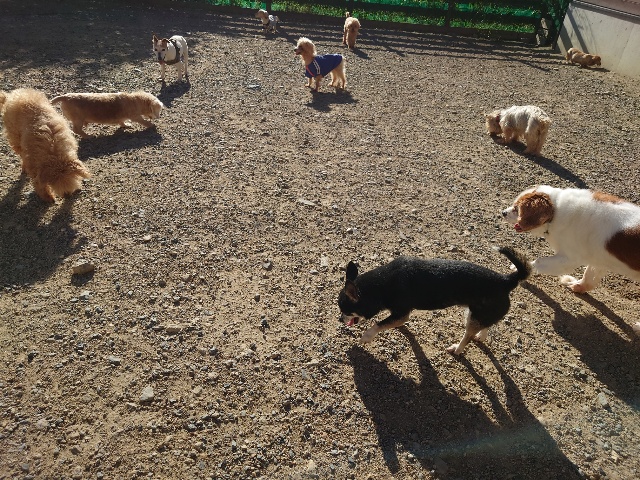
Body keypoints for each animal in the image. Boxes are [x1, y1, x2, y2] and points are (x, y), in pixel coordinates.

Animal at [338, 247, 531, 355]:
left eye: (346, 311)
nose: (340, 319)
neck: (382, 284)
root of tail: (505, 280)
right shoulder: (400, 314)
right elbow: (391, 322)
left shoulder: (401, 312)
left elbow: (378, 324)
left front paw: (366, 336)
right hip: (476, 313)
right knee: (486, 325)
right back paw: (480, 336)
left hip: (474, 316)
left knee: (467, 337)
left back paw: (457, 349)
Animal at [502, 185, 640, 294]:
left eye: (516, 209)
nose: (503, 212)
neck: (556, 211)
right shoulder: (598, 259)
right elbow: (589, 277)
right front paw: (577, 286)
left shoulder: (569, 258)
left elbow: (540, 261)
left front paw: (520, 268)